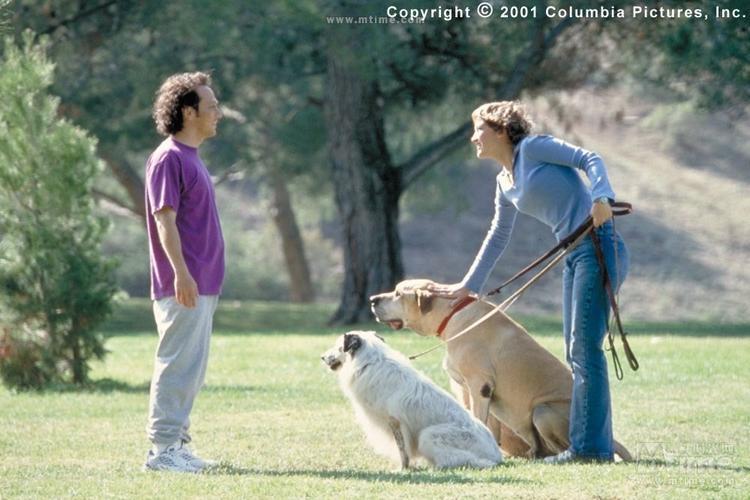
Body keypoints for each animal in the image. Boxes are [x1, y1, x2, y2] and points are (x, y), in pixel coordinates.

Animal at [320, 332, 502, 468]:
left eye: (338, 346)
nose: (322, 357)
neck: (367, 363)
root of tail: (497, 454)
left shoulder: (394, 421)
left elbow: (403, 450)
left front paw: (403, 469)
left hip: (428, 436)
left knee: (461, 460)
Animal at [374, 278, 632, 460]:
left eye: (398, 293)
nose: (373, 299)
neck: (453, 314)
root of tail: (612, 439)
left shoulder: (479, 386)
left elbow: (478, 418)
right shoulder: (478, 392)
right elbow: (488, 425)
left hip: (543, 411)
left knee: (557, 445)